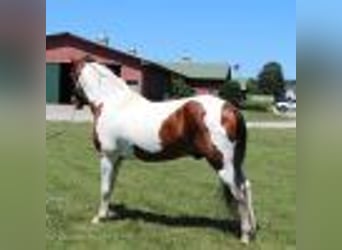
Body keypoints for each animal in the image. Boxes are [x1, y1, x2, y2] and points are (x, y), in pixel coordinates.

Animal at [69, 57, 256, 244]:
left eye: (71, 74)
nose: (72, 100)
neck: (112, 103)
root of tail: (230, 108)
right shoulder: (117, 159)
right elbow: (111, 186)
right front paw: (107, 214)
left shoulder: (107, 156)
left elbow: (105, 188)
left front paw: (99, 218)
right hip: (234, 164)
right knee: (245, 186)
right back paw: (252, 229)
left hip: (222, 164)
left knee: (238, 193)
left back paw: (245, 236)